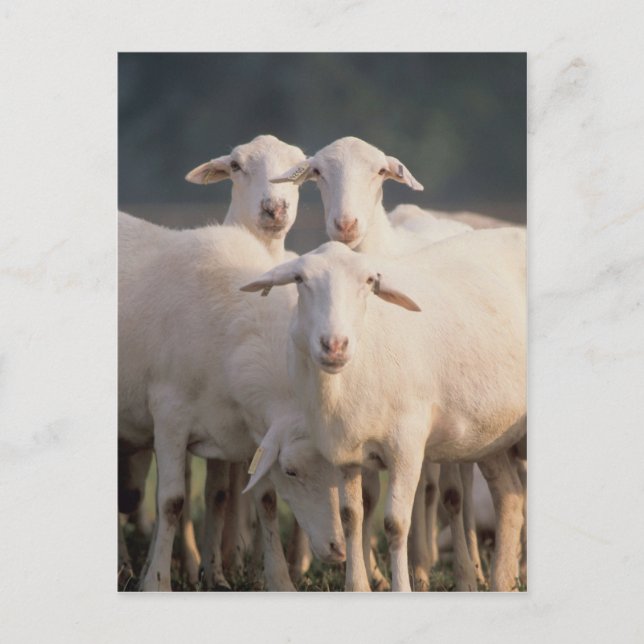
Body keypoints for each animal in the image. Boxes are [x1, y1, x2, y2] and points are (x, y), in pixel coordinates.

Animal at [118, 212, 345, 591]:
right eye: (291, 470)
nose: (336, 550)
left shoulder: (245, 431)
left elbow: (261, 501)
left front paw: (277, 580)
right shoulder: (169, 416)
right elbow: (171, 502)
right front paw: (157, 581)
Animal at [241, 227, 526, 592]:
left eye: (369, 282)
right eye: (300, 279)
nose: (335, 345)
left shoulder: (407, 444)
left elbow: (395, 523)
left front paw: (402, 586)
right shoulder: (344, 450)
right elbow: (351, 517)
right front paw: (356, 587)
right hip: (489, 434)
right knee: (510, 497)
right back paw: (502, 581)